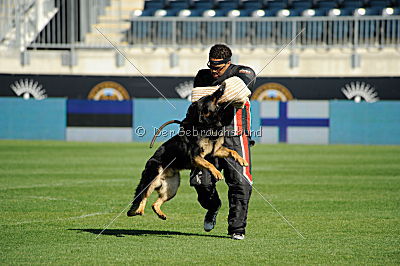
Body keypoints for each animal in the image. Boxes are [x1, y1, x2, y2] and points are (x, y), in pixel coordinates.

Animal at [126, 86, 248, 219]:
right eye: (210, 97)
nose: (222, 86)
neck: (207, 125)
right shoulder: (195, 156)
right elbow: (209, 164)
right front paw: (216, 173)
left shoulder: (215, 151)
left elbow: (232, 151)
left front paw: (242, 160)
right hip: (152, 180)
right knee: (143, 196)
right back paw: (139, 210)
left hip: (171, 188)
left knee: (154, 203)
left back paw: (160, 214)